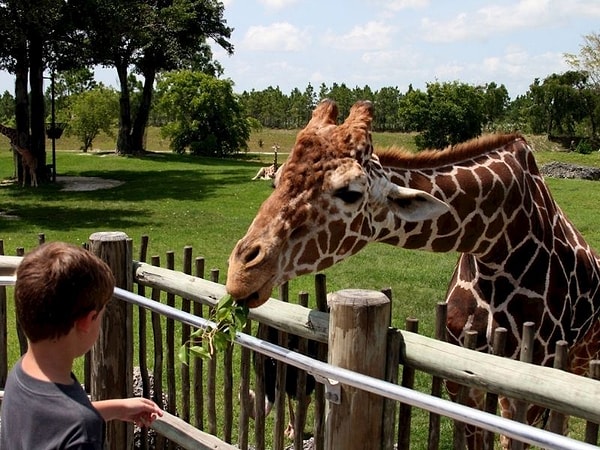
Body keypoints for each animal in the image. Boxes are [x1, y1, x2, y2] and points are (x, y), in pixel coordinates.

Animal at [225, 100, 600, 448]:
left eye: (350, 192)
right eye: (276, 179)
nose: (240, 274)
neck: (498, 245)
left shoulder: (527, 389)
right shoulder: (461, 380)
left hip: (579, 364)